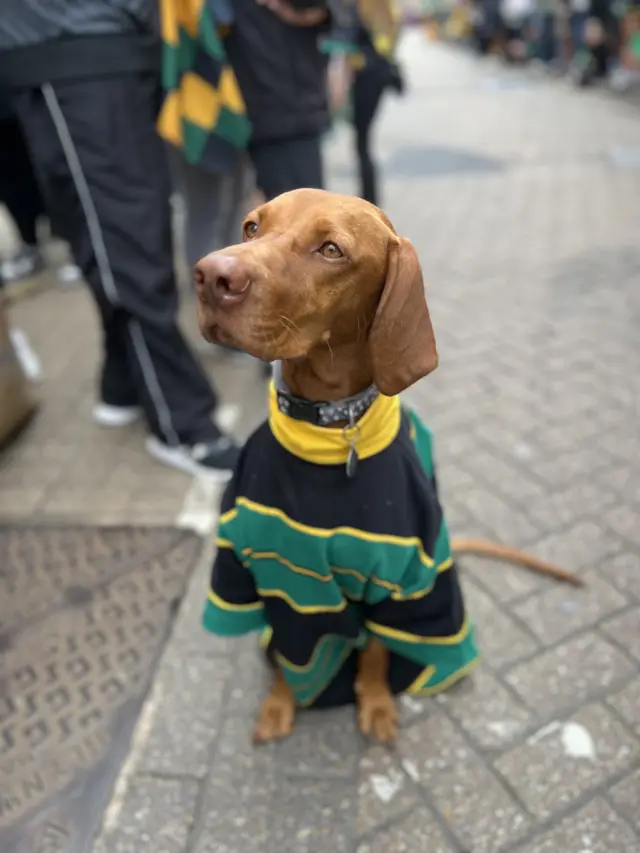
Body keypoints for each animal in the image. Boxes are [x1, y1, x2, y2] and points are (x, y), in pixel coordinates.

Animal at [194, 190, 580, 744]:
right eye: (251, 227)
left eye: (331, 249)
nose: (209, 275)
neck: (330, 432)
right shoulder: (272, 575)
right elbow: (289, 654)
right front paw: (280, 704)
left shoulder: (397, 579)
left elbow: (375, 651)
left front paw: (374, 704)